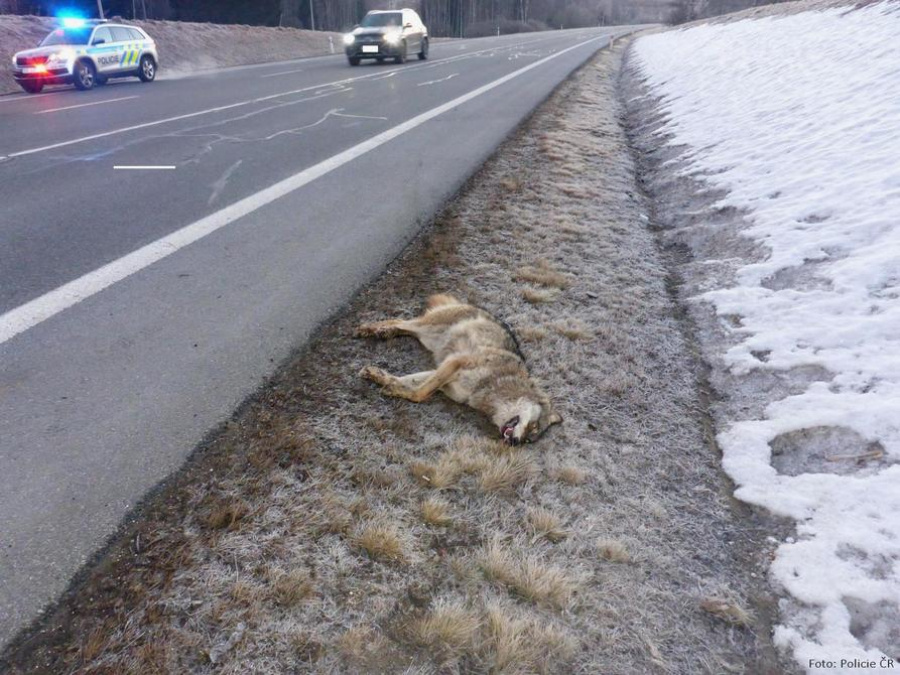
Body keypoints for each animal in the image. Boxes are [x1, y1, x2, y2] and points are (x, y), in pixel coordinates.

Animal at [358, 294, 564, 444]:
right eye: (533, 427)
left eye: (529, 440)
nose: (515, 443)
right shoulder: (455, 362)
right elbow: (421, 393)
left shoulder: (443, 374)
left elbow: (411, 385)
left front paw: (382, 378)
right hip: (429, 326)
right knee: (399, 320)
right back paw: (369, 328)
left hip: (426, 338)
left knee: (402, 326)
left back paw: (383, 333)